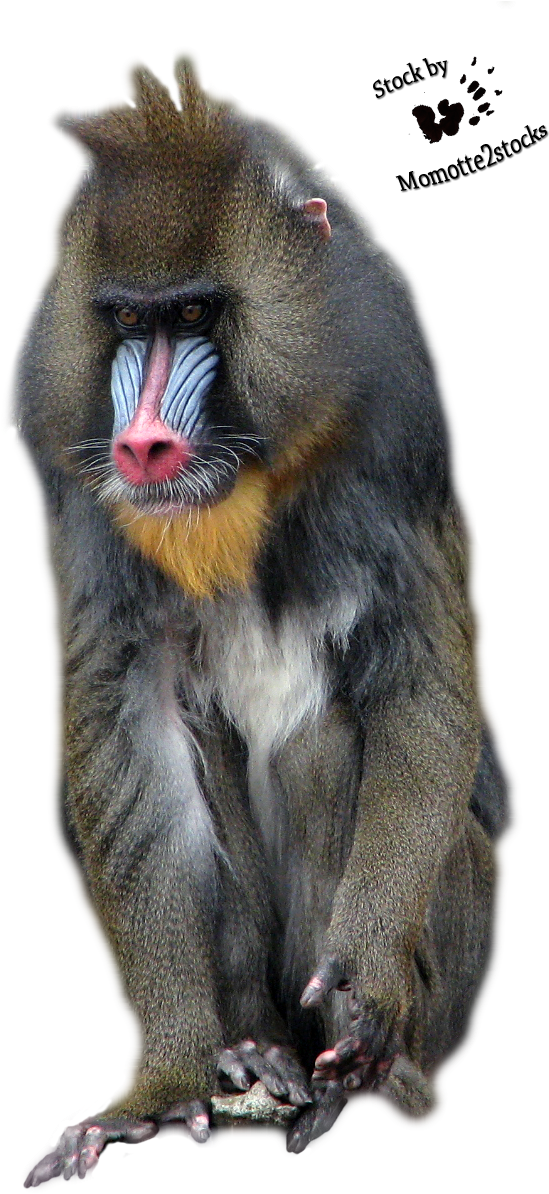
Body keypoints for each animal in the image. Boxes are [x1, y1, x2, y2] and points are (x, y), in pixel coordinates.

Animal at [5, 48, 515, 1187]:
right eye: (129, 321)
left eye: (196, 318)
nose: (144, 442)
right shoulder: (71, 475)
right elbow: (126, 718)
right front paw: (157, 1091)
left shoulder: (403, 417)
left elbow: (421, 675)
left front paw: (367, 993)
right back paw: (250, 1054)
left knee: (334, 743)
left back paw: (371, 1081)